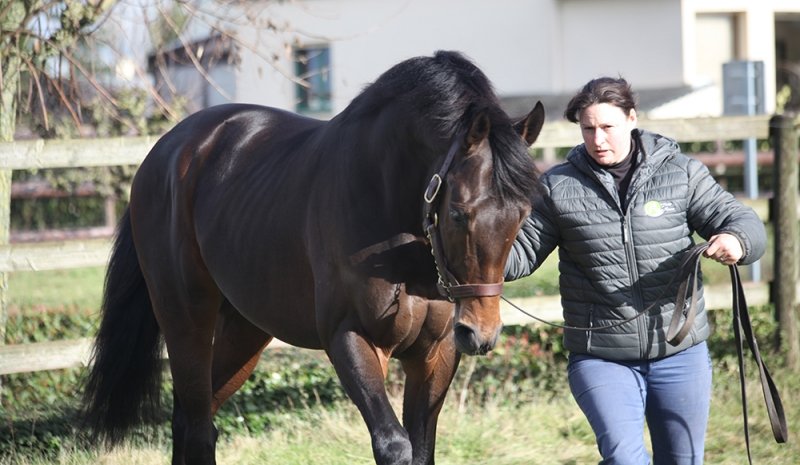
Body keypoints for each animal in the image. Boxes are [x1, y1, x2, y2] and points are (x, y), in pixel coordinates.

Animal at [81, 50, 545, 465]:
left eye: (523, 214)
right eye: (458, 213)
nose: (481, 334)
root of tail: (164, 153)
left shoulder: (436, 353)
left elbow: (422, 448)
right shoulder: (350, 338)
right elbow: (394, 445)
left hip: (244, 330)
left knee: (195, 419)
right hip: (185, 317)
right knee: (195, 425)